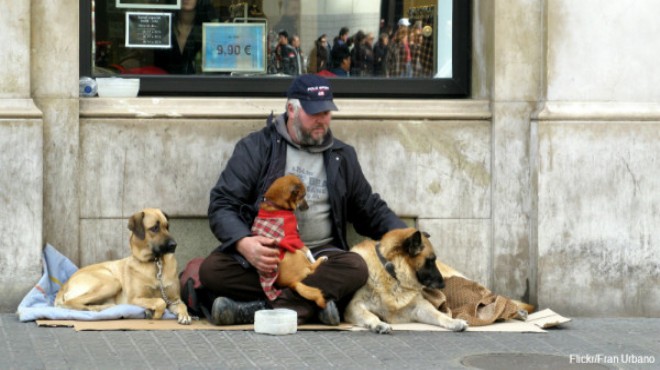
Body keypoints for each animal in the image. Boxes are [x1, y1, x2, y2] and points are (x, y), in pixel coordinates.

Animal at [54, 208, 191, 324]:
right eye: (155, 228)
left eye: (167, 227)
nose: (174, 245)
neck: (155, 263)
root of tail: (65, 285)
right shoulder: (134, 298)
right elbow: (160, 302)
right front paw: (155, 314)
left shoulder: (174, 299)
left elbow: (182, 305)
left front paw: (185, 315)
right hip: (111, 282)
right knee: (71, 302)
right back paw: (101, 308)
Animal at [250, 175, 328, 308]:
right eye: (302, 196)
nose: (308, 207)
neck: (275, 205)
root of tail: (293, 283)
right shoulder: (294, 239)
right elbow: (308, 251)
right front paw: (313, 258)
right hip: (297, 253)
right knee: (312, 268)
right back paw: (322, 259)